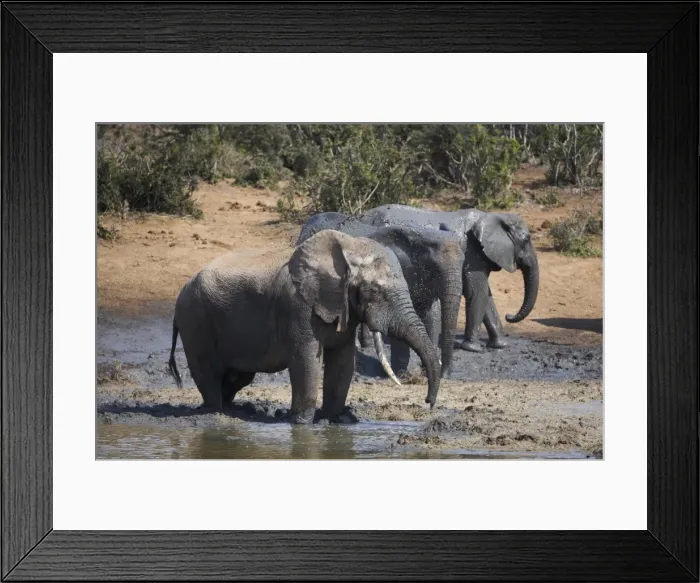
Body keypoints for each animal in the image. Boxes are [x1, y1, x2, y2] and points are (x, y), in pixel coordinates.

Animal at [168, 229, 442, 424]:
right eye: (374, 291)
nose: (428, 402)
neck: (347, 248)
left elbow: (342, 362)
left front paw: (335, 420)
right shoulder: (298, 307)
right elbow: (306, 360)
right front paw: (302, 423)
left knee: (239, 376)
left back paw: (235, 411)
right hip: (195, 321)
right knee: (209, 372)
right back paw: (215, 413)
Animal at [357, 204, 539, 353]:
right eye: (526, 240)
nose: (509, 315)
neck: (491, 216)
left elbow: (486, 296)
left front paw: (500, 345)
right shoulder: (472, 255)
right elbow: (477, 293)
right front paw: (473, 348)